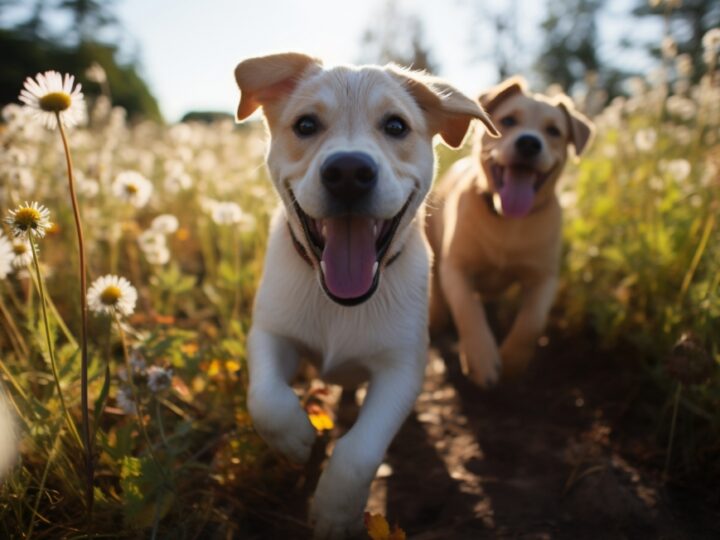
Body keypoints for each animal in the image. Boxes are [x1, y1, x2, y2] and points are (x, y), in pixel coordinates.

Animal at [235, 51, 496, 540]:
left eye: (395, 126)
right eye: (305, 125)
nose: (348, 173)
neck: (339, 303)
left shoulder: (402, 370)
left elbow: (359, 450)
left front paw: (335, 514)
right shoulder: (270, 334)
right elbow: (266, 399)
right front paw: (297, 440)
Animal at [428, 78, 596, 386]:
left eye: (553, 131)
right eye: (508, 120)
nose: (529, 142)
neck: (507, 220)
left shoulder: (545, 277)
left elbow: (532, 321)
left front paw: (512, 362)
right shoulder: (456, 267)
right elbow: (468, 309)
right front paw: (481, 358)